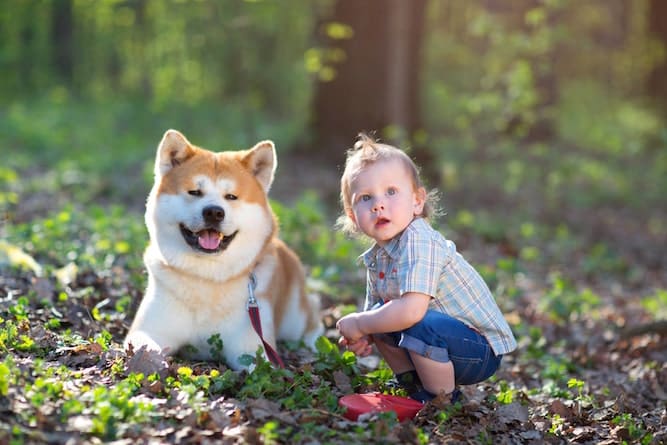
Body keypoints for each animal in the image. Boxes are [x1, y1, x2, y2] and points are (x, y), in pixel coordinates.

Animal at [126, 127, 324, 368]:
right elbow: (147, 347)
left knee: (313, 321)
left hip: (294, 319)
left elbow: (260, 365)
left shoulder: (249, 344)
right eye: (194, 192)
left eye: (231, 196)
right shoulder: (149, 329)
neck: (208, 277)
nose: (214, 212)